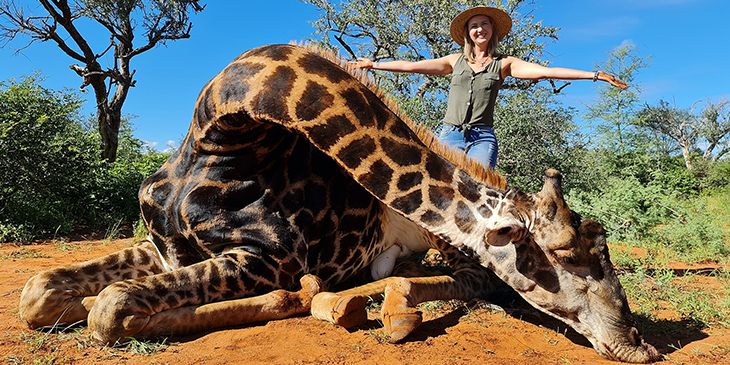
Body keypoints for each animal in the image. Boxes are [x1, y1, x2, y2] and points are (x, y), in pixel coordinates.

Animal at [19, 43, 660, 362]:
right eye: (571, 257)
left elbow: (110, 309)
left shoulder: (267, 259)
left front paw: (299, 300)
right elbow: (39, 293)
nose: (638, 345)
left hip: (441, 247)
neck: (219, 136)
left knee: (472, 280)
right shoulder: (163, 247)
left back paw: (377, 305)